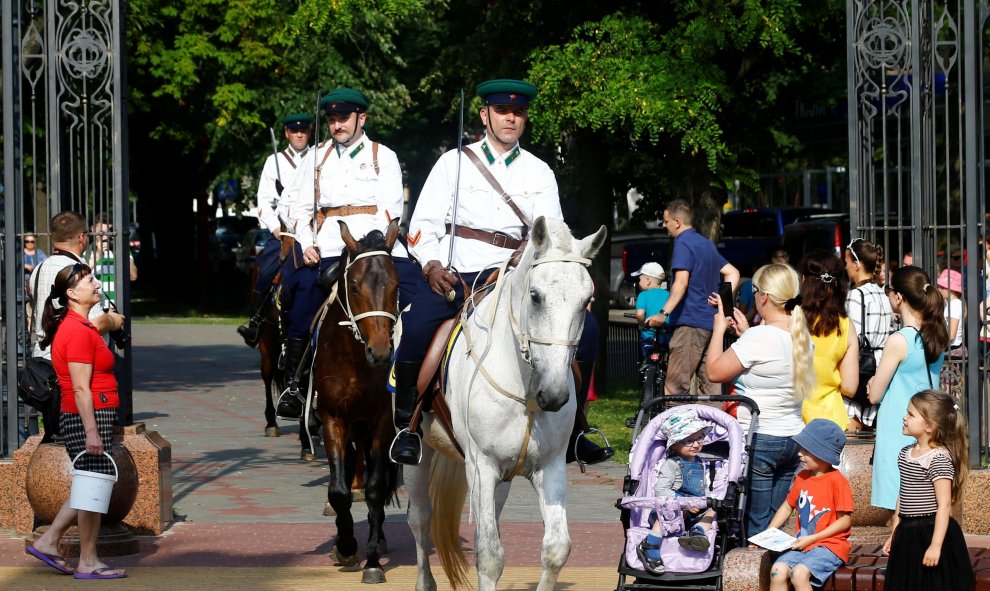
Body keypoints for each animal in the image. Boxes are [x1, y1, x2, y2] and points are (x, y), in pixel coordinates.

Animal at [404, 217, 608, 591]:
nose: (554, 395)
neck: (526, 391)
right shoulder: (481, 467)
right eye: (536, 296)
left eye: (587, 300)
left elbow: (556, 549)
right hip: (419, 458)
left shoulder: (550, 466)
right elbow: (489, 557)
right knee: (420, 519)